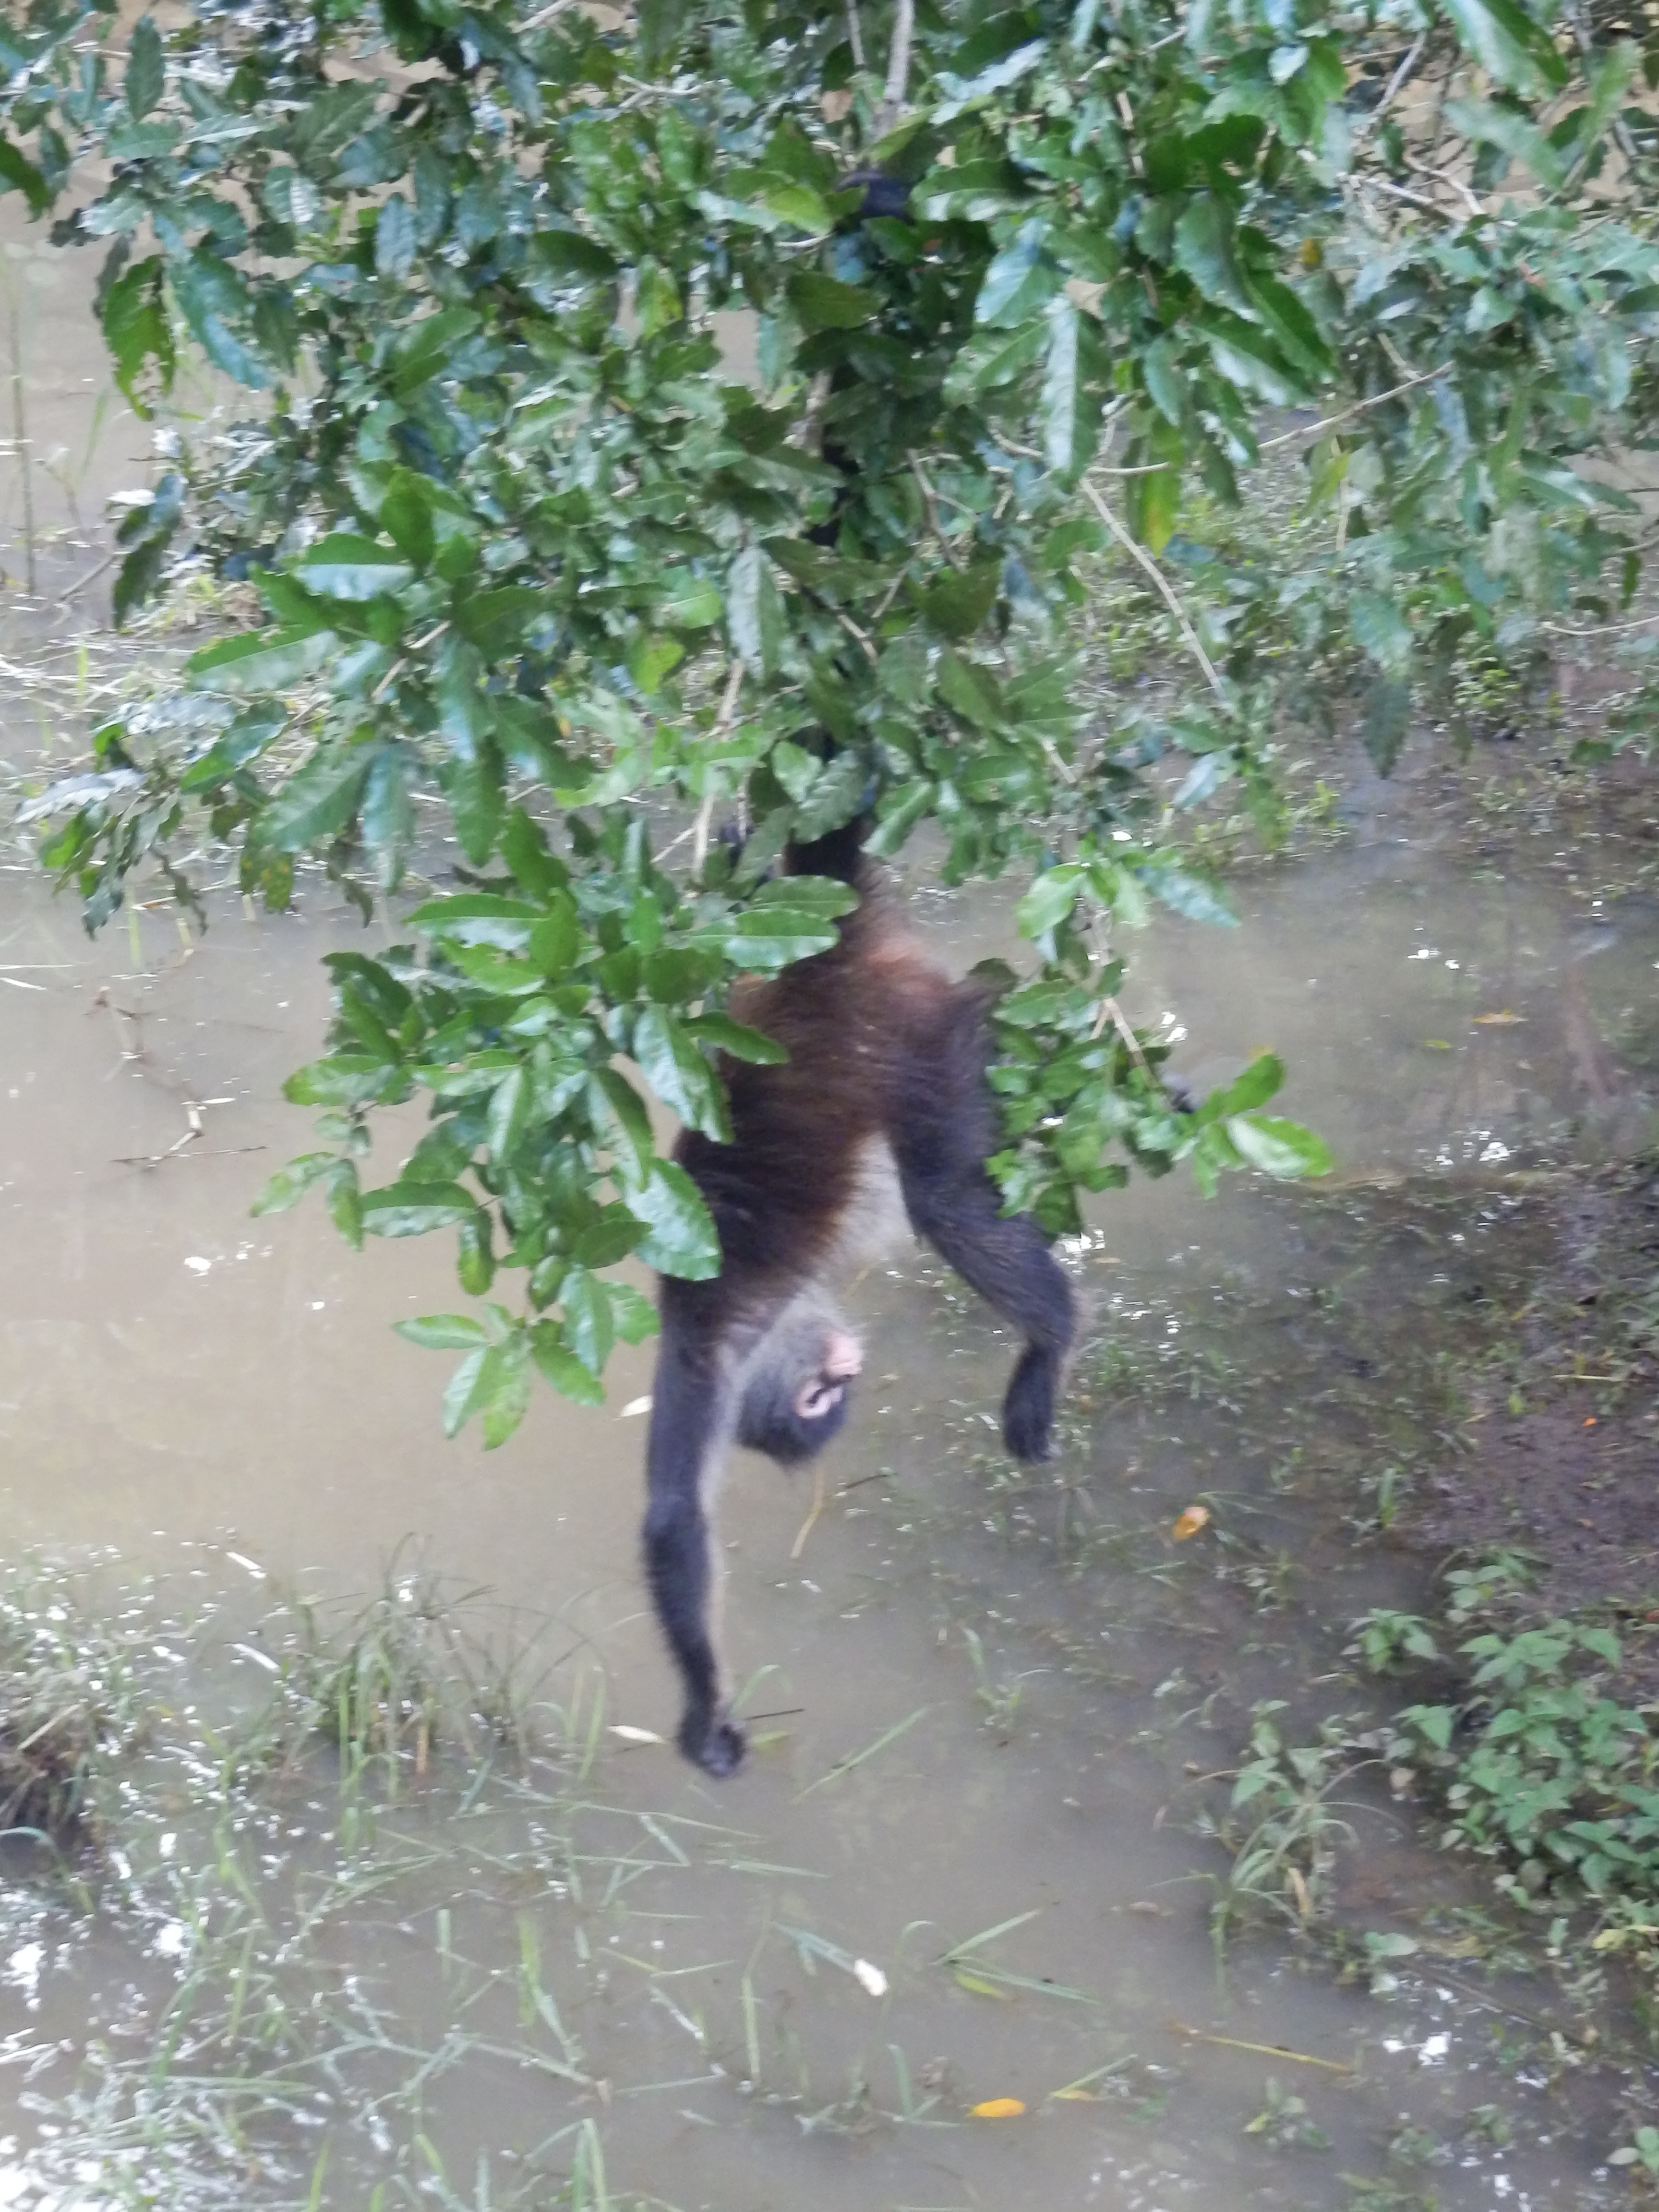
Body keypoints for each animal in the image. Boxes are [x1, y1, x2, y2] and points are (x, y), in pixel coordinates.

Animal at [642, 819, 1078, 1776]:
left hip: (916, 1043)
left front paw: (704, 1716)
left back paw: (1052, 1343)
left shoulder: (704, 1341)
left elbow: (672, 1521)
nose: (847, 1375)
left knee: (943, 1198)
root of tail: (826, 968)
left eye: (823, 1401)